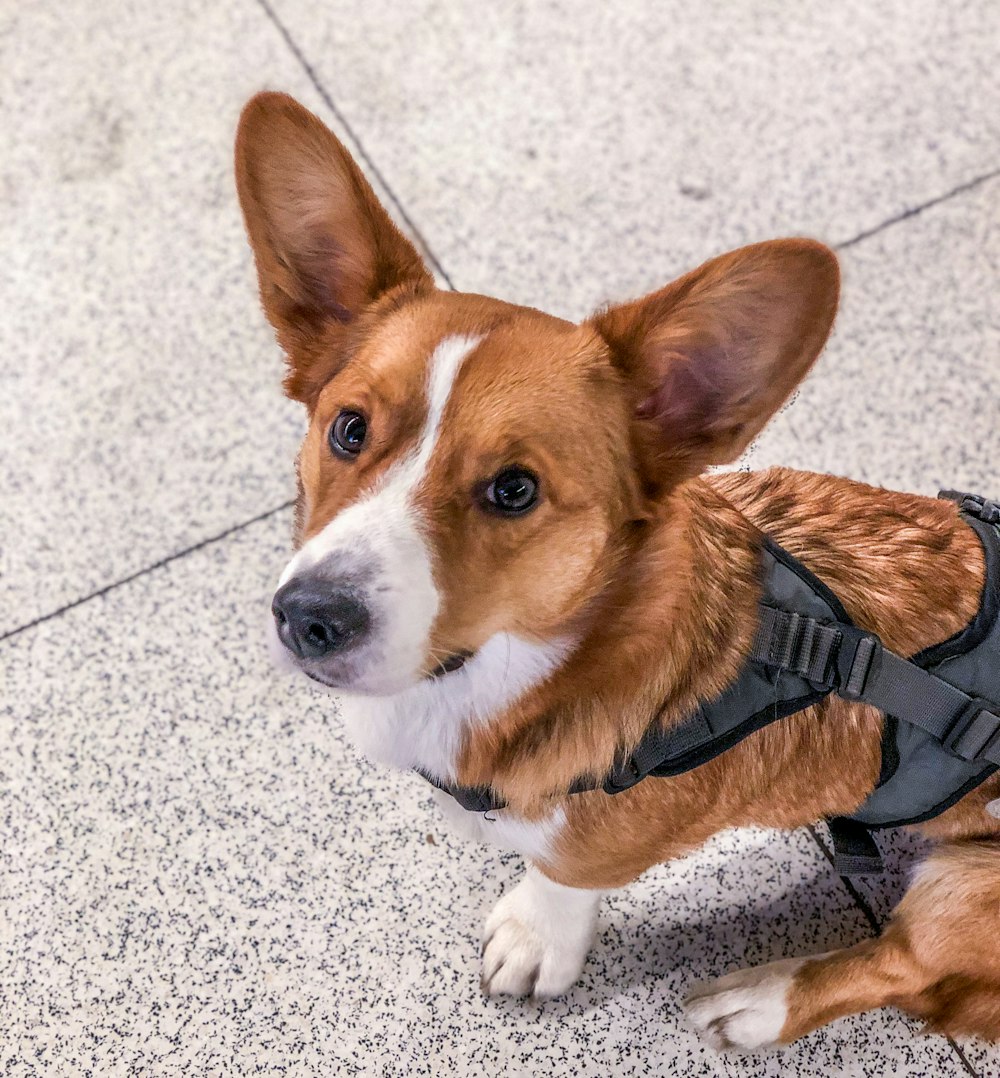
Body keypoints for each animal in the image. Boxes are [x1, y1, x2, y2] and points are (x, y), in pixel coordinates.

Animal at [234, 92, 1000, 1052]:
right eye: (347, 429)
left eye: (514, 489)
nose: (309, 616)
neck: (515, 663)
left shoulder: (590, 845)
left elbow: (560, 878)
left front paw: (536, 940)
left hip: (962, 889)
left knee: (902, 965)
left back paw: (760, 999)